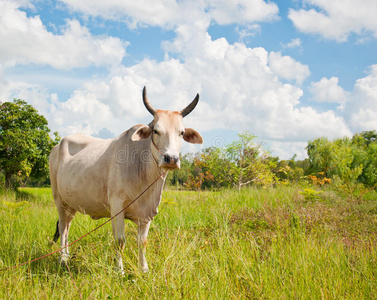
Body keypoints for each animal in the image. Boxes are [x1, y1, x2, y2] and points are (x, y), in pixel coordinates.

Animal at [50, 86, 203, 272]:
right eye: (156, 130)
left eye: (181, 133)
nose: (171, 159)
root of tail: (56, 146)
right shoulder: (117, 206)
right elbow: (120, 241)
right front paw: (119, 270)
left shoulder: (146, 212)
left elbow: (142, 242)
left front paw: (144, 269)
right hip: (59, 200)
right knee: (62, 227)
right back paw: (62, 258)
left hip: (70, 204)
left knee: (67, 226)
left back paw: (67, 255)